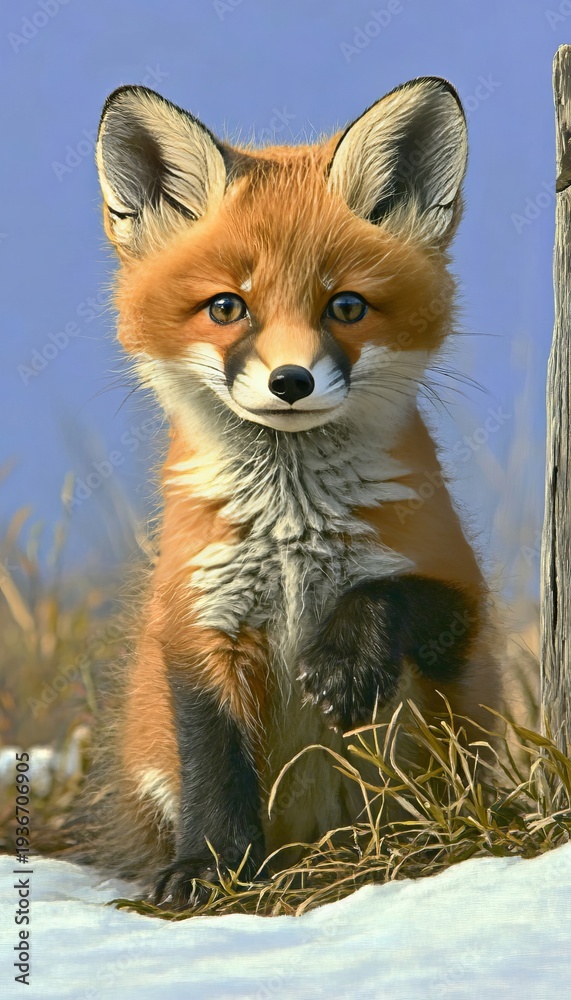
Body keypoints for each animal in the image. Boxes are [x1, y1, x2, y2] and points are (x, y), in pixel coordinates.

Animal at [83, 76, 500, 907]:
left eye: (345, 306)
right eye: (226, 307)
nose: (290, 381)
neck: (290, 536)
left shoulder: (462, 596)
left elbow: (388, 592)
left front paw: (344, 657)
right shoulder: (197, 615)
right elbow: (213, 761)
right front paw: (208, 869)